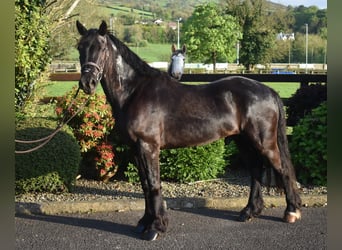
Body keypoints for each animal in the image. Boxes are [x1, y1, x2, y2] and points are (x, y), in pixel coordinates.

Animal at [76, 21, 300, 240]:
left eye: (101, 48)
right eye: (80, 47)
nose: (87, 83)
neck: (135, 91)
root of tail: (269, 91)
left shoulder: (148, 146)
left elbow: (153, 185)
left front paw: (156, 228)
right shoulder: (136, 149)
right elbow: (145, 186)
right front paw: (144, 223)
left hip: (264, 142)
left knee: (283, 170)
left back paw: (291, 212)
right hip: (244, 141)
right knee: (255, 172)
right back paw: (249, 212)